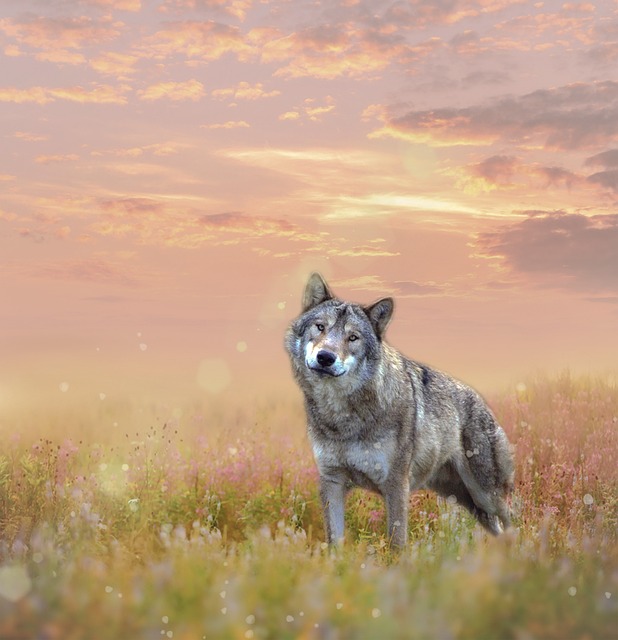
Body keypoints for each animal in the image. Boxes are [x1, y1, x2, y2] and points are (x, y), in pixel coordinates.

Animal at [286, 272, 512, 548]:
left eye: (353, 338)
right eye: (320, 327)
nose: (326, 357)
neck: (343, 416)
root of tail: (482, 402)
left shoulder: (395, 485)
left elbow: (396, 544)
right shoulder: (332, 481)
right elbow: (334, 543)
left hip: (486, 496)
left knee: (513, 520)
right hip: (468, 501)